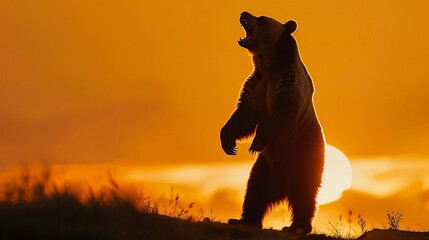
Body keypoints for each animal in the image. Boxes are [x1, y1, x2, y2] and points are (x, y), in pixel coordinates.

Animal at [221, 12, 324, 235]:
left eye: (261, 18)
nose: (243, 13)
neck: (269, 65)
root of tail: (282, 187)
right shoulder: (256, 86)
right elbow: (244, 115)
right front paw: (228, 143)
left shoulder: (288, 83)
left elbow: (282, 113)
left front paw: (255, 142)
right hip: (267, 165)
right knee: (256, 188)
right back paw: (243, 219)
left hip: (303, 152)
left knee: (303, 190)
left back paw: (297, 226)